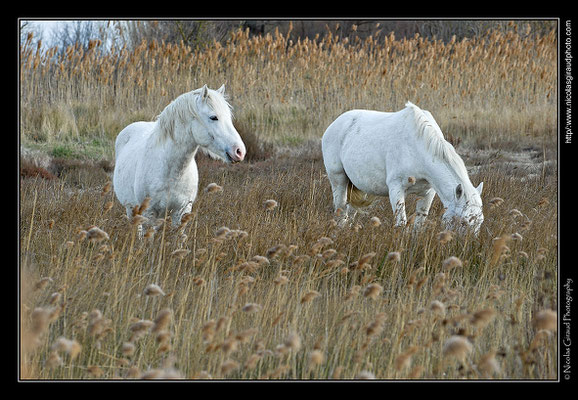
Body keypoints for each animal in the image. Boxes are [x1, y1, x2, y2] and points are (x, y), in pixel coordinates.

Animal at [113, 84, 245, 228]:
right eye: (213, 117)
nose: (239, 151)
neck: (171, 173)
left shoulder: (181, 213)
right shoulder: (149, 213)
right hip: (132, 210)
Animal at [320, 101, 482, 234]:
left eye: (480, 222)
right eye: (463, 222)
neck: (418, 146)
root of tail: (334, 125)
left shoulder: (428, 193)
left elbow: (419, 224)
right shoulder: (396, 189)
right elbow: (401, 224)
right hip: (338, 180)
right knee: (341, 211)